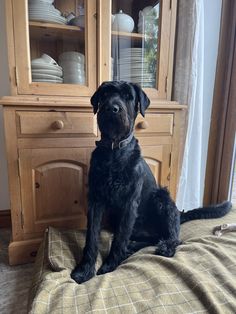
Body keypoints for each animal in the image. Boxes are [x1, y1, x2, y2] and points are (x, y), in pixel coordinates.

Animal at [71, 81, 231, 284]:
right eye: (105, 94)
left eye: (128, 96)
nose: (112, 108)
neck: (114, 152)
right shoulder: (95, 200)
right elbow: (92, 236)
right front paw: (85, 269)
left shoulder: (129, 203)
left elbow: (119, 237)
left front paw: (110, 265)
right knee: (151, 237)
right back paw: (132, 247)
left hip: (162, 197)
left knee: (172, 237)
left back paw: (164, 247)